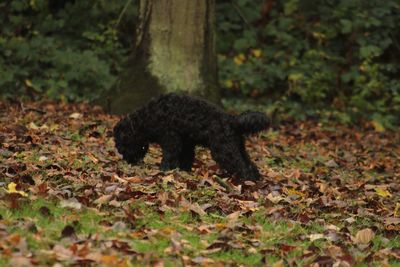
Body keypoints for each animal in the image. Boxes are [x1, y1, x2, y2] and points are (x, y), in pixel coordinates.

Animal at [113, 93, 268, 181]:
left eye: (120, 143)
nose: (125, 159)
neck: (145, 119)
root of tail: (231, 120)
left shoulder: (171, 140)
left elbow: (169, 158)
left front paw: (164, 171)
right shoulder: (186, 143)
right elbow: (185, 159)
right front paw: (184, 171)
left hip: (223, 151)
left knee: (241, 166)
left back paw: (246, 181)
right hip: (237, 147)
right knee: (249, 164)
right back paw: (255, 179)